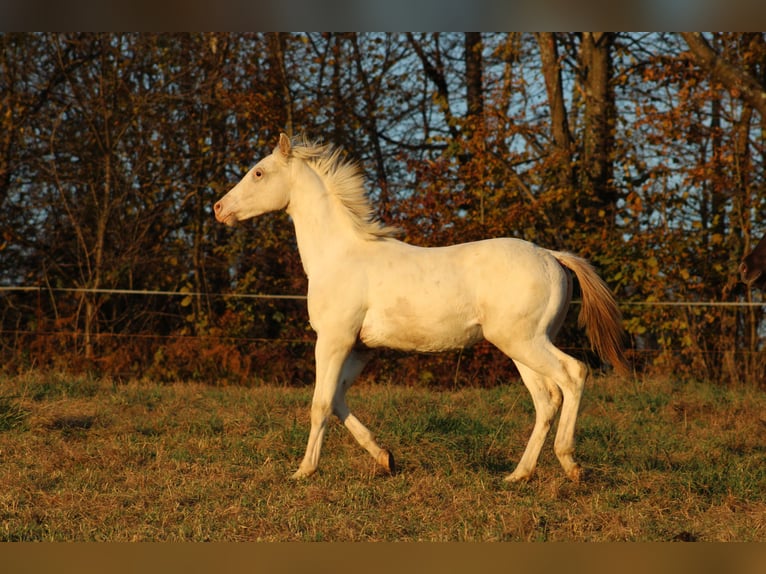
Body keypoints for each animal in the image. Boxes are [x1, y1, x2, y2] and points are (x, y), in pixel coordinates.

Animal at [213, 133, 628, 484]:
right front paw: (386, 459)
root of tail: (552, 256)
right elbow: (337, 401)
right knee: (546, 400)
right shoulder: (361, 348)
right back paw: (518, 475)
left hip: (525, 342)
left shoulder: (333, 340)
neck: (339, 256)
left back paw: (570, 464)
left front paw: (303, 471)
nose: (219, 208)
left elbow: (320, 404)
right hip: (522, 347)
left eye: (259, 172)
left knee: (574, 374)